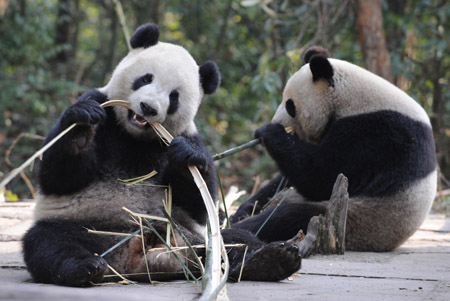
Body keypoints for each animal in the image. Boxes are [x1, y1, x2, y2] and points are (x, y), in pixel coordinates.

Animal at [22, 24, 300, 286]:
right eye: (145, 79)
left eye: (174, 96)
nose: (148, 107)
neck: (134, 137)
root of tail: (133, 261)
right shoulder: (102, 106)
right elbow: (58, 178)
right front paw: (80, 128)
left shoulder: (183, 136)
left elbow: (200, 203)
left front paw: (187, 158)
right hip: (88, 229)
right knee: (50, 242)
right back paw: (85, 267)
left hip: (197, 237)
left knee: (234, 241)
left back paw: (273, 259)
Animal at [232, 47, 436, 252]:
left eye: (290, 105)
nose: (277, 121)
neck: (352, 98)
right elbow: (286, 178)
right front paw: (243, 208)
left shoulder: (377, 135)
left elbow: (324, 175)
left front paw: (270, 132)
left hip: (360, 218)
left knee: (287, 216)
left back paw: (240, 231)